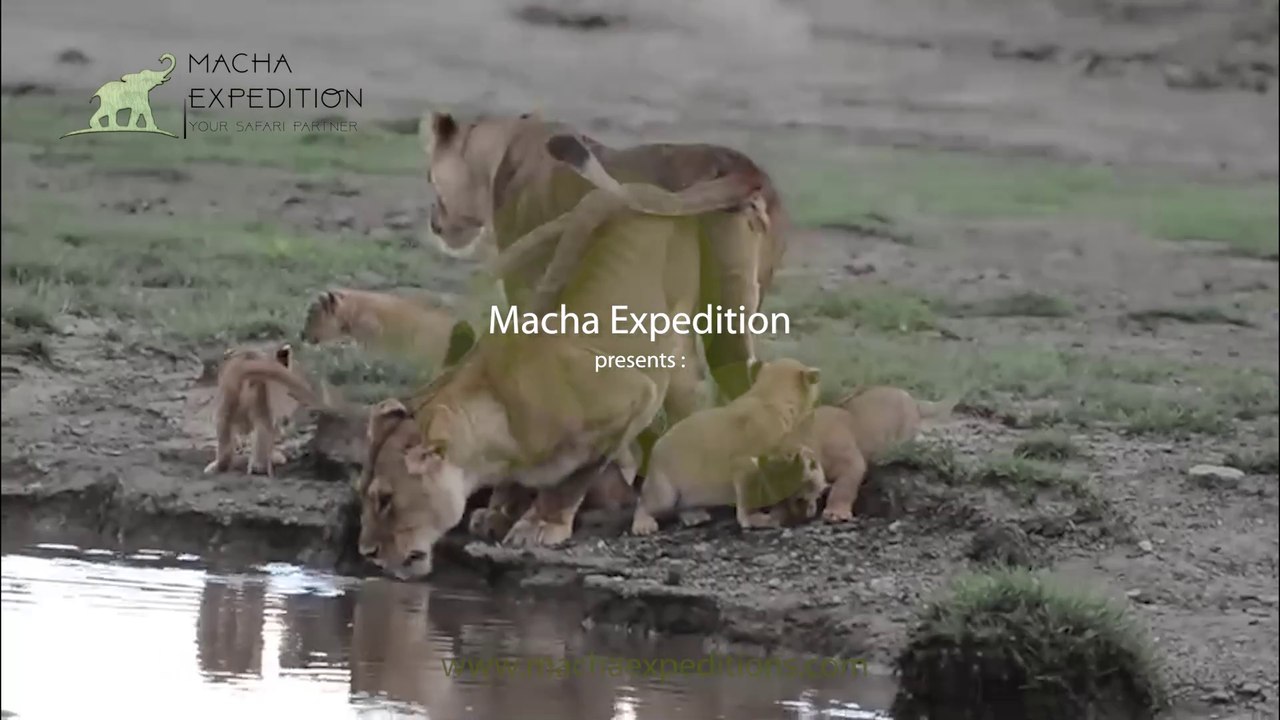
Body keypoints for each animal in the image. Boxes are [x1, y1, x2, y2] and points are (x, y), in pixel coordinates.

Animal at [630, 358, 823, 535]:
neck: (770, 398)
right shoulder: (747, 456)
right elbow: (746, 485)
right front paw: (754, 518)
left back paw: (694, 515)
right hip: (665, 482)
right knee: (651, 501)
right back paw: (644, 523)